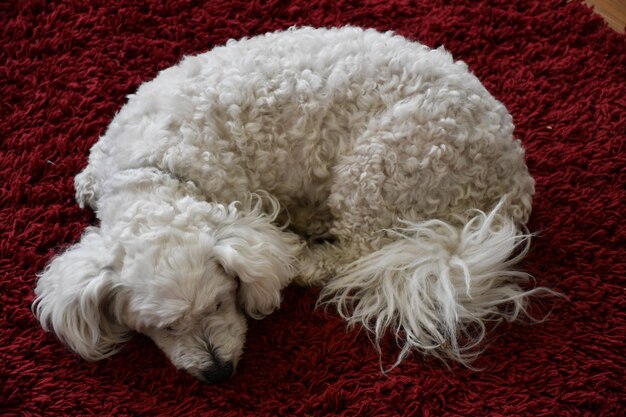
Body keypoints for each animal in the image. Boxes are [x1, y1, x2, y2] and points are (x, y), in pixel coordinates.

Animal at [33, 26, 552, 384]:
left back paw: (305, 256)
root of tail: (512, 173)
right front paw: (83, 184)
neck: (154, 169)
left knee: (357, 250)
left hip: (381, 167)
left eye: (222, 301)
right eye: (160, 327)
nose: (219, 373)